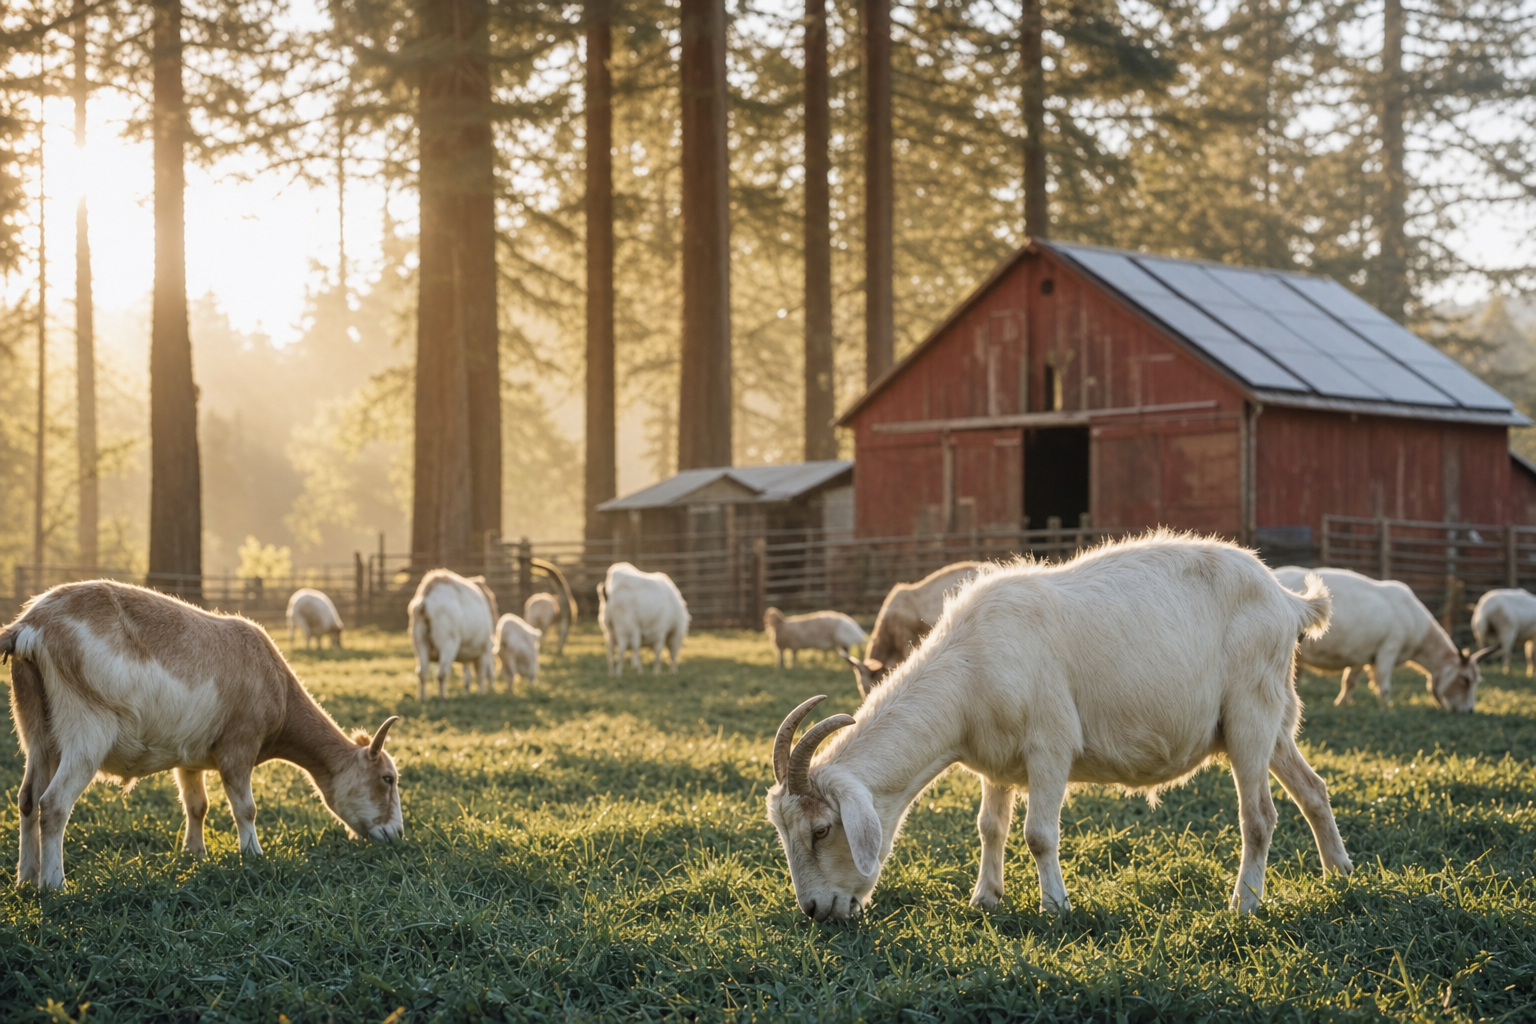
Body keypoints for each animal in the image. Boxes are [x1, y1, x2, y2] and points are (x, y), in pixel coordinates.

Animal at [0, 580, 402, 891]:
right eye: (387, 778)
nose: (396, 835)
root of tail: (30, 627)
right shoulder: (239, 746)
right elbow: (246, 809)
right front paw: (253, 855)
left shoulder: (189, 756)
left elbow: (198, 805)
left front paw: (195, 853)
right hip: (86, 727)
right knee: (53, 804)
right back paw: (54, 885)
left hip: (36, 730)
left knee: (28, 798)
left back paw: (26, 878)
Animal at [408, 569, 499, 700]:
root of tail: (426, 597)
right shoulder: (484, 649)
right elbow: (481, 674)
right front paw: (480, 693)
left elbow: (468, 671)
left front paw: (467, 690)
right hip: (448, 643)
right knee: (441, 674)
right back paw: (443, 698)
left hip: (419, 642)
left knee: (422, 673)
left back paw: (423, 698)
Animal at [1275, 567, 1492, 713]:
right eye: (1465, 679)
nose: (1469, 710)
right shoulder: (1389, 649)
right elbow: (1383, 684)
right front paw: (1387, 708)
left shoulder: (1361, 656)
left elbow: (1350, 682)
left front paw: (1342, 704)